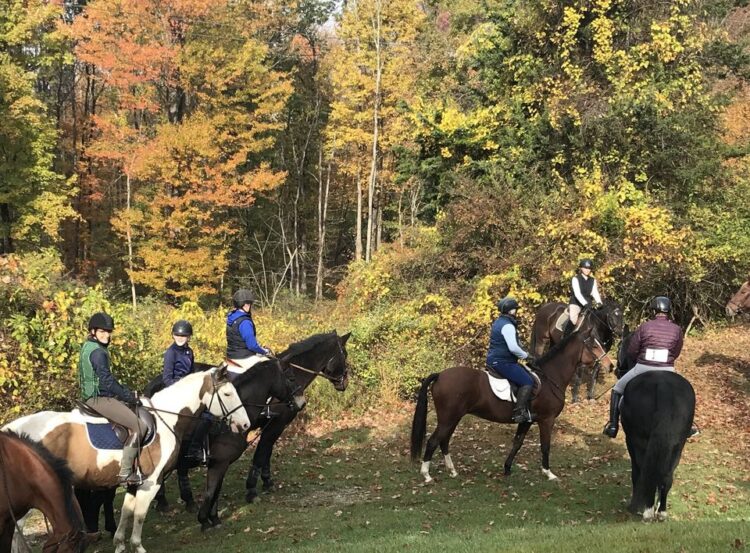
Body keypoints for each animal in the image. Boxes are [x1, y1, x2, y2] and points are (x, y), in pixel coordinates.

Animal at [1, 364, 266, 552]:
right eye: (228, 393)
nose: (245, 424)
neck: (166, 418)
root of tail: (11, 430)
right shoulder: (152, 483)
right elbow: (139, 517)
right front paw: (137, 547)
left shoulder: (132, 483)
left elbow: (126, 514)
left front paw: (119, 544)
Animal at [151, 330, 356, 528]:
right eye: (344, 354)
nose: (344, 382)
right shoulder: (276, 425)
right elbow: (262, 453)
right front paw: (252, 489)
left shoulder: (271, 426)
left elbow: (267, 452)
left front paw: (266, 482)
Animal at [412, 320, 612, 484]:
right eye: (594, 346)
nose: (610, 366)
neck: (550, 378)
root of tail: (440, 375)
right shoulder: (546, 420)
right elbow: (545, 446)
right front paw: (548, 473)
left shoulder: (527, 420)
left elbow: (517, 443)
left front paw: (507, 468)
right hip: (448, 418)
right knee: (433, 441)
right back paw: (426, 475)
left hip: (453, 418)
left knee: (444, 441)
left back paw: (452, 471)